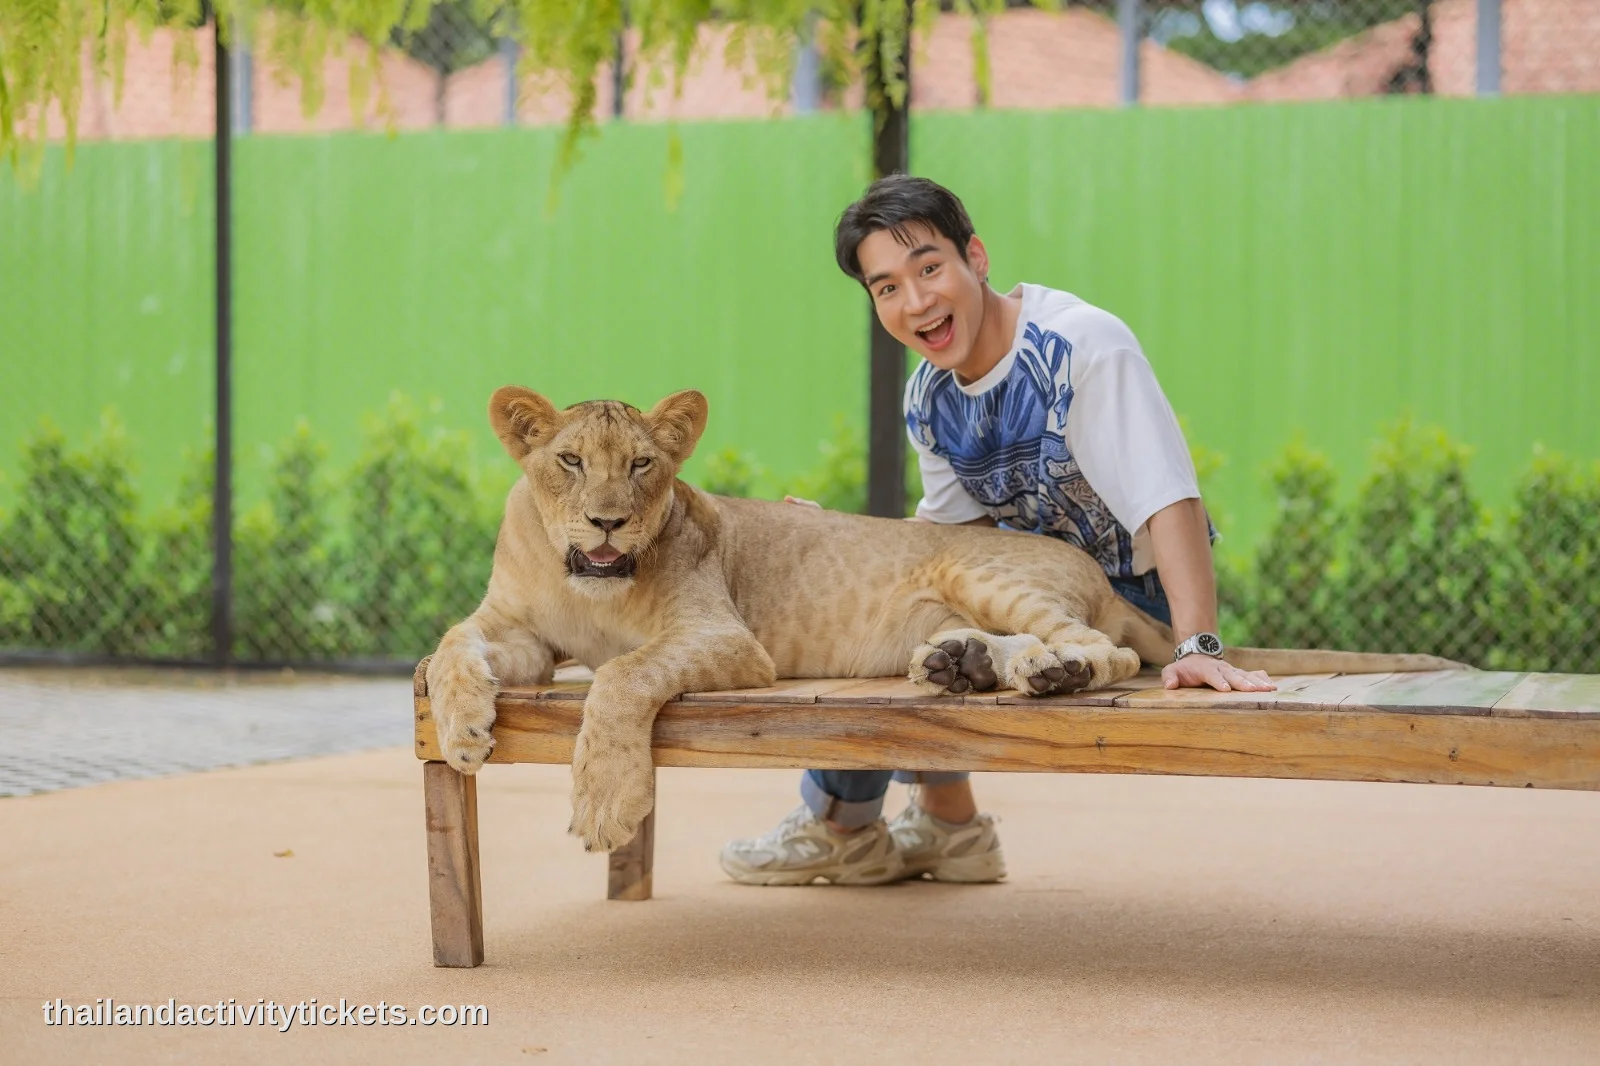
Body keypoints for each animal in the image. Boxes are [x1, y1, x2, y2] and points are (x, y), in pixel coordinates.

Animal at [426, 387, 1465, 853]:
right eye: (569, 461)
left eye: (643, 465)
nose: (606, 521)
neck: (590, 584)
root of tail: (1095, 569)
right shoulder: (517, 628)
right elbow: (451, 645)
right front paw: (464, 722)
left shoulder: (727, 640)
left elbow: (619, 676)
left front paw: (605, 801)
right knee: (1039, 645)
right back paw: (967, 666)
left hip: (979, 565)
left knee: (1107, 654)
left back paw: (1043, 674)